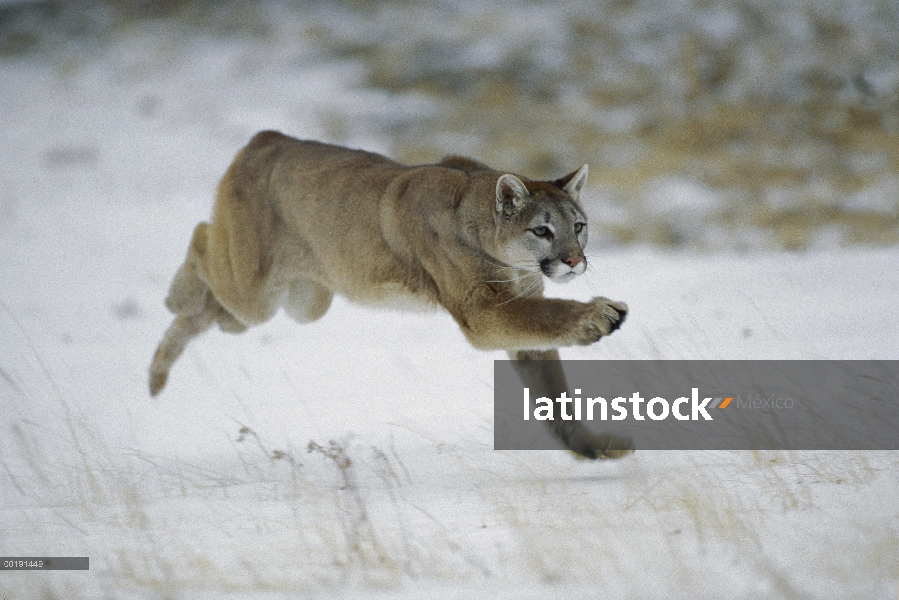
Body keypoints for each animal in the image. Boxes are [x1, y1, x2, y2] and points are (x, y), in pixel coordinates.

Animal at [149, 132, 632, 460]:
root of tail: (266, 139)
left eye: (579, 226)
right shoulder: (483, 311)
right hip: (255, 290)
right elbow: (550, 315)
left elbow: (551, 388)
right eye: (542, 230)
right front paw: (598, 316)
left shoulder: (517, 312)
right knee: (201, 240)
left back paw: (160, 367)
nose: (574, 260)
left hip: (300, 303)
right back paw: (174, 302)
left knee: (214, 313)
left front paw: (591, 447)